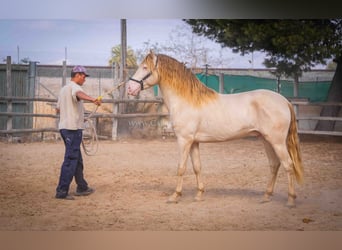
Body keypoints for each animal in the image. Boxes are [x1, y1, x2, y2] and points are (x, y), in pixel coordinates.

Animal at [127, 50, 304, 207]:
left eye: (145, 67)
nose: (129, 88)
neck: (187, 100)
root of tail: (284, 101)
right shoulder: (194, 142)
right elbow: (197, 167)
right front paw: (199, 195)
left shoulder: (184, 140)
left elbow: (181, 168)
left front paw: (175, 196)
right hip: (266, 140)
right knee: (274, 165)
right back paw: (266, 196)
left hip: (277, 142)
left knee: (288, 165)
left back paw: (290, 200)